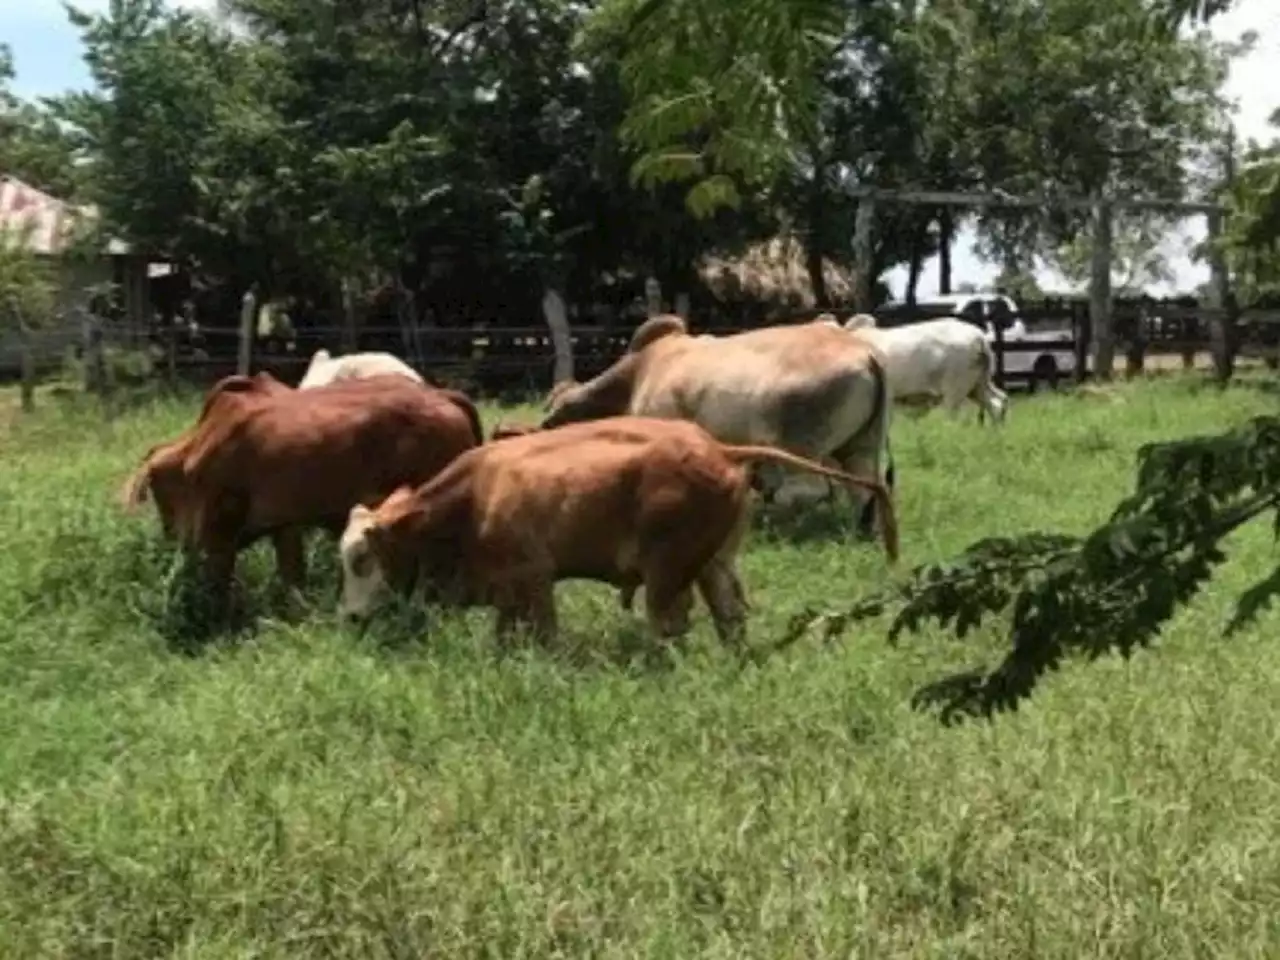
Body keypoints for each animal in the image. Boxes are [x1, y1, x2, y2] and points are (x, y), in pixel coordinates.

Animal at [120, 371, 483, 611]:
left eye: (158, 493)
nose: (170, 536)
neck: (200, 447)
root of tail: (444, 397)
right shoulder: (284, 525)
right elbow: (292, 575)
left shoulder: (220, 531)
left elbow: (219, 580)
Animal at [340, 414, 901, 647]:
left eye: (361, 559)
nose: (349, 617)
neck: (477, 494)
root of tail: (718, 448)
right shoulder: (506, 589)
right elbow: (506, 631)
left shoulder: (535, 578)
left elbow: (545, 633)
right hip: (714, 565)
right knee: (729, 619)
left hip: (667, 572)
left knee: (669, 623)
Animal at [537, 316, 890, 535]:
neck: (640, 371)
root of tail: (865, 353)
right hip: (859, 447)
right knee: (864, 491)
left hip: (797, 450)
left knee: (805, 491)